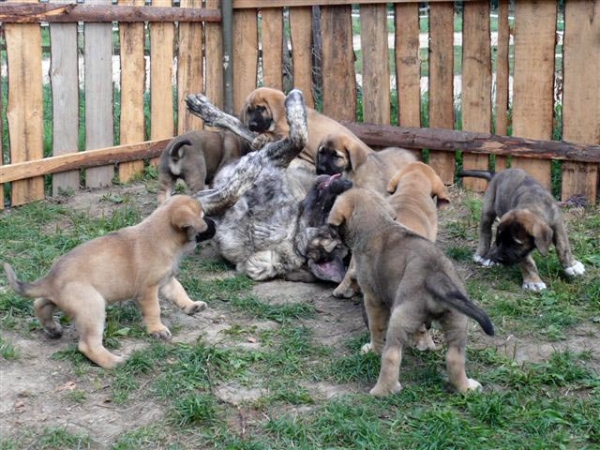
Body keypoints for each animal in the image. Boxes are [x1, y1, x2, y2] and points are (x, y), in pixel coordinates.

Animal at [3, 196, 214, 370]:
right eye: (204, 215)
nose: (213, 223)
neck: (162, 234)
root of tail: (51, 278)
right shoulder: (148, 290)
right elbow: (155, 310)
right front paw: (157, 330)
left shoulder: (166, 281)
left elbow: (180, 292)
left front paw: (192, 306)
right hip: (93, 307)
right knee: (87, 344)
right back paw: (113, 361)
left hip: (61, 299)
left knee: (40, 304)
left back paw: (52, 328)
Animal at [328, 188, 492, 396]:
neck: (378, 225)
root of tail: (435, 275)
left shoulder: (373, 298)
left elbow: (376, 328)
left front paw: (372, 349)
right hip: (457, 319)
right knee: (455, 357)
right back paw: (466, 387)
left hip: (401, 317)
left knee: (392, 355)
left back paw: (382, 391)